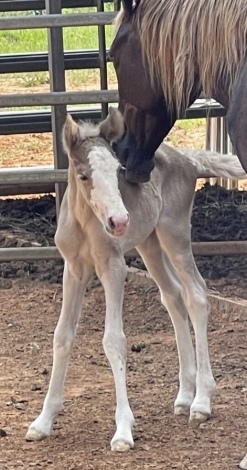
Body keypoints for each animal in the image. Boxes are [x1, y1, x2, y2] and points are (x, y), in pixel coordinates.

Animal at [26, 108, 246, 450]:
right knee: (173, 296)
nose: (119, 221)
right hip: (149, 244)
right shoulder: (73, 269)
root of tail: (187, 158)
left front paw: (122, 431)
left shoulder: (113, 266)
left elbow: (114, 340)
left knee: (196, 294)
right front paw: (42, 421)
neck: (87, 223)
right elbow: (62, 336)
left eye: (118, 169)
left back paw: (201, 402)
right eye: (83, 175)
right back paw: (184, 396)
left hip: (174, 234)